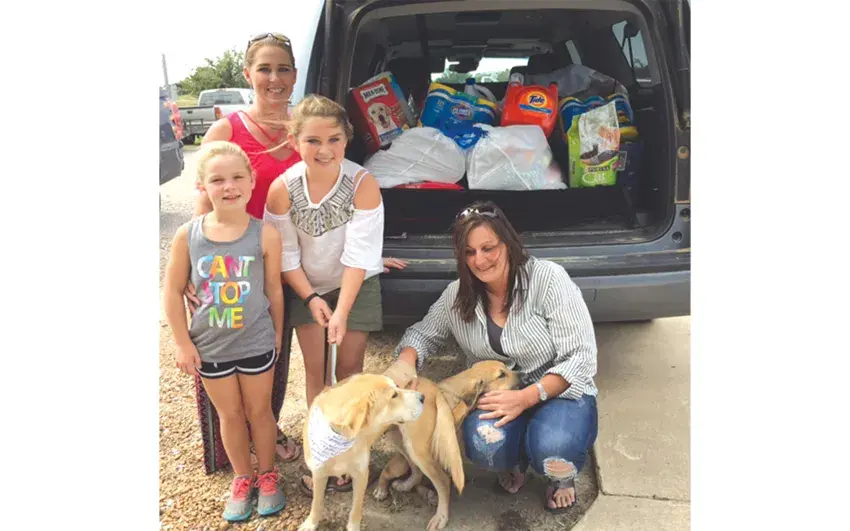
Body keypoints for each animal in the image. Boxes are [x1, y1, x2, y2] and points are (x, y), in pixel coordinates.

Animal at [298, 373, 425, 531]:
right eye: (394, 395)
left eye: (397, 386)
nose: (422, 397)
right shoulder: (318, 473)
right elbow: (316, 503)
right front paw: (310, 523)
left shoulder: (361, 475)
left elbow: (356, 509)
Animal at [374, 361, 520, 531]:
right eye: (501, 375)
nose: (523, 376)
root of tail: (433, 391)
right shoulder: (450, 423)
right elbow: (464, 404)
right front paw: (475, 399)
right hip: (412, 449)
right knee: (434, 479)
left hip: (410, 446)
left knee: (419, 473)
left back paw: (420, 491)